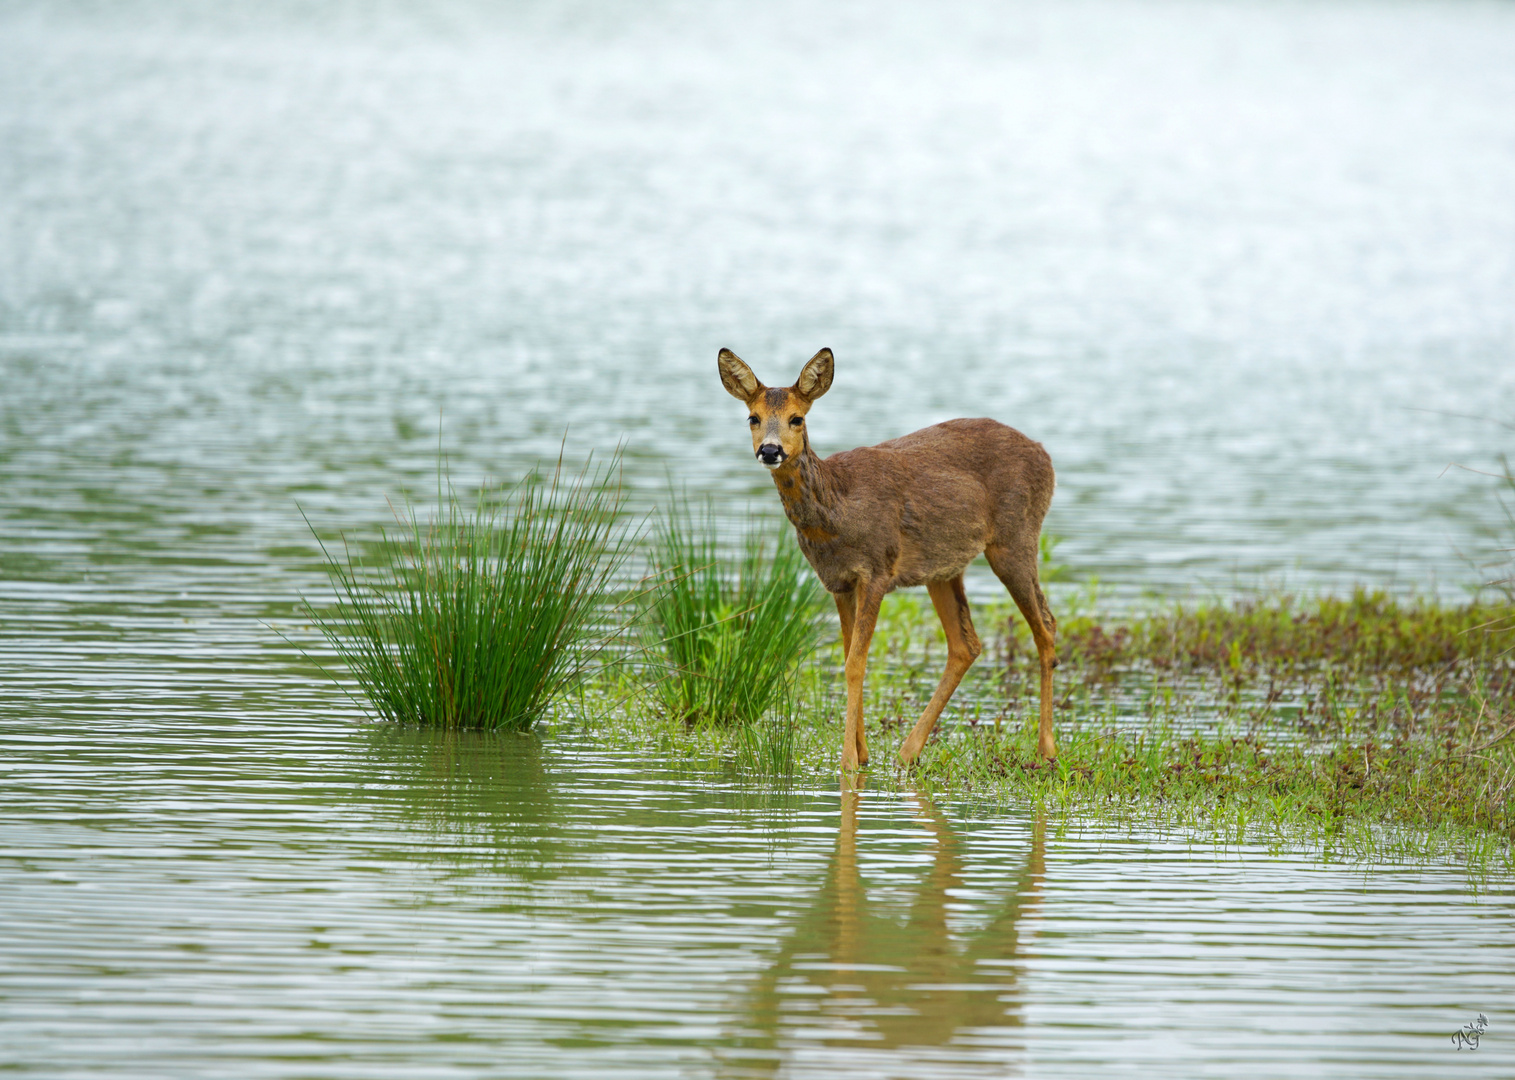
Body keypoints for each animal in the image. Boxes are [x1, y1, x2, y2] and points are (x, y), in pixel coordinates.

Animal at [718, 345, 1054, 766]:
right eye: (753, 417)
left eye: (797, 418)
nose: (770, 450)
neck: (837, 512)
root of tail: (1046, 456)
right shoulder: (837, 581)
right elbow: (848, 658)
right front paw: (862, 755)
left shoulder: (877, 570)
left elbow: (856, 663)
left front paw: (848, 761)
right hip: (943, 568)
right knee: (967, 644)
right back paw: (908, 751)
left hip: (1015, 539)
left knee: (1046, 628)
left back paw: (1046, 750)